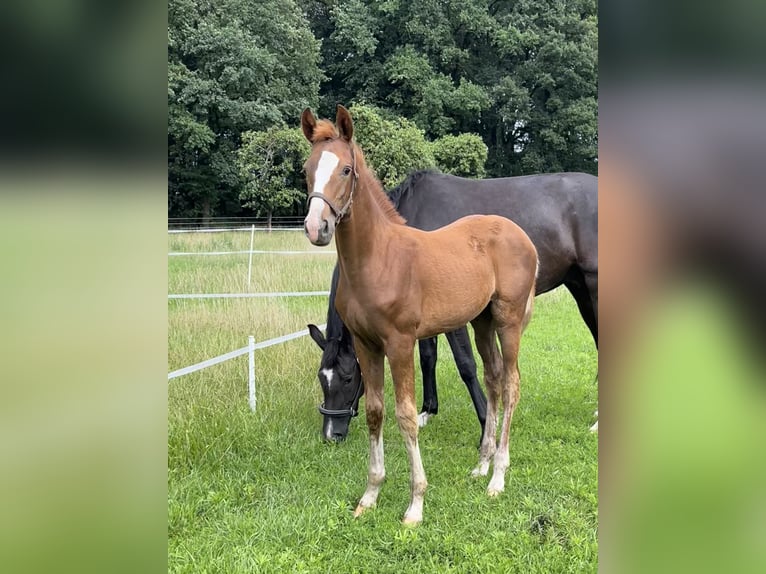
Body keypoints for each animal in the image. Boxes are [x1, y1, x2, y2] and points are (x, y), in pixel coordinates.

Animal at [301, 105, 539, 524]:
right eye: (307, 169)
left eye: (345, 169)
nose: (317, 227)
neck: (378, 259)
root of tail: (520, 235)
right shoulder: (366, 344)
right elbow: (376, 412)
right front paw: (369, 496)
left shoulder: (400, 342)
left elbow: (407, 416)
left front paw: (415, 505)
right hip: (482, 322)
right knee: (493, 379)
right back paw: (481, 464)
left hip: (508, 321)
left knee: (511, 384)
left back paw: (497, 477)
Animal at [309, 169, 598, 442]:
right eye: (322, 377)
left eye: (347, 378)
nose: (331, 435)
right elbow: (427, 357)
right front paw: (427, 411)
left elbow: (466, 364)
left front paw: (485, 425)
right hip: (580, 288)